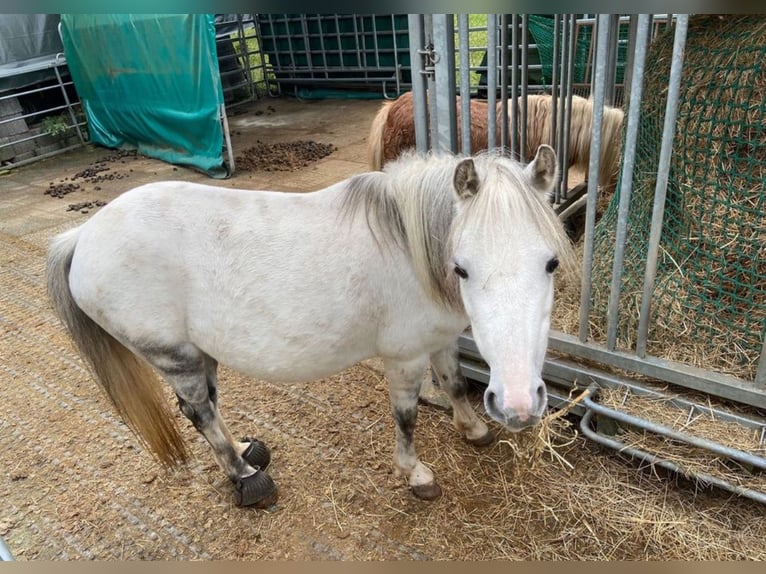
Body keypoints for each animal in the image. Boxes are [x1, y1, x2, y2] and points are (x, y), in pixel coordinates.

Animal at [48, 146, 572, 510]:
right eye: (461, 268)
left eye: (550, 263)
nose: (519, 405)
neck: (410, 247)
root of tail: (84, 235)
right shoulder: (404, 356)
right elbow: (406, 417)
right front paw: (416, 474)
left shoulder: (439, 340)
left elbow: (457, 383)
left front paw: (473, 430)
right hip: (174, 356)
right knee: (199, 413)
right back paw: (247, 479)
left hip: (200, 350)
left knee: (210, 408)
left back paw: (247, 451)